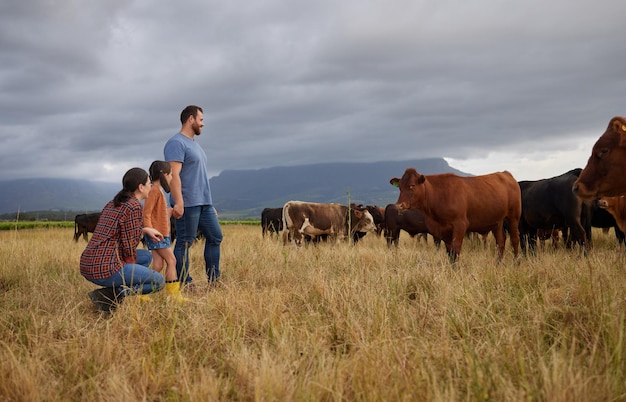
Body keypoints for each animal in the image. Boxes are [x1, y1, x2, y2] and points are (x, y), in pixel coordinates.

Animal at [388, 168, 520, 262]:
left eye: (412, 186)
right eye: (399, 187)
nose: (399, 205)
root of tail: (506, 174)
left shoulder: (460, 225)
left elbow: (456, 250)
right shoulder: (443, 230)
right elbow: (450, 253)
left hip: (513, 217)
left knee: (514, 239)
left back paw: (516, 262)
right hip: (497, 221)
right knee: (501, 242)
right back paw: (498, 263)